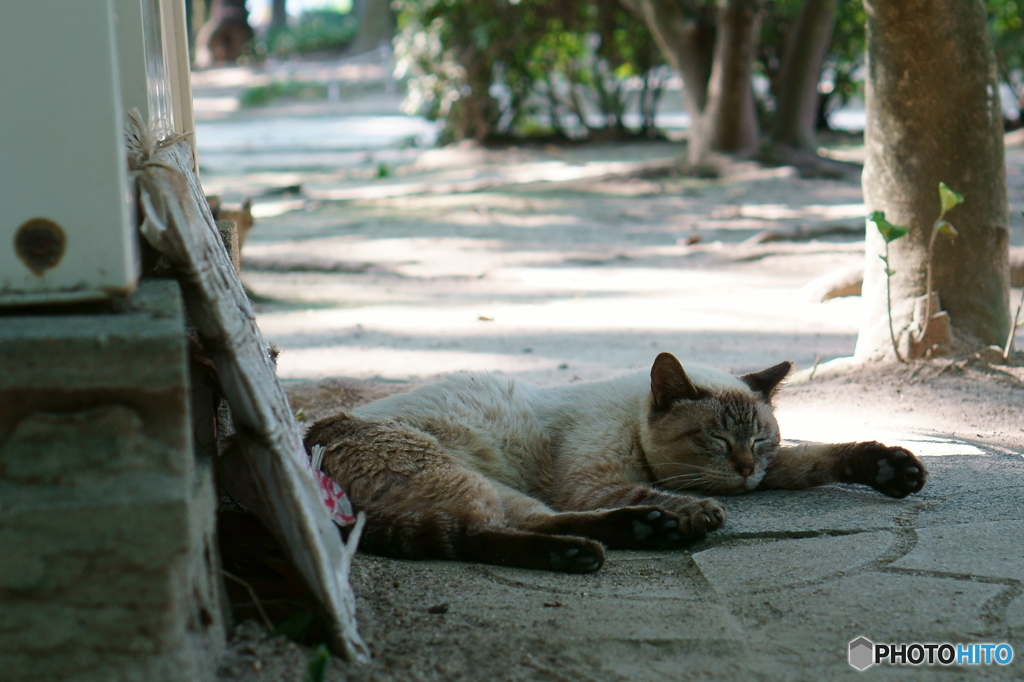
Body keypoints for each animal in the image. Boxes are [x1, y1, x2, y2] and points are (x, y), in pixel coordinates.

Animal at [303, 352, 929, 569]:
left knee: (518, 522)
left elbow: (825, 458)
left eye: (761, 442)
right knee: (475, 533)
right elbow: (654, 490)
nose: (746, 470)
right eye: (717, 440)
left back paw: (643, 531)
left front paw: (895, 470)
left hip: (487, 485)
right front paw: (695, 511)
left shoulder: (773, 472)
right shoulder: (596, 482)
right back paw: (605, 546)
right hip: (460, 477)